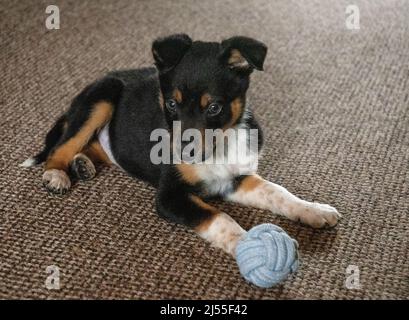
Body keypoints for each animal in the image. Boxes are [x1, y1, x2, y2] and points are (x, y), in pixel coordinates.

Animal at [20, 34, 340, 255]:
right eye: (171, 104)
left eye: (213, 107)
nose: (182, 152)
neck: (218, 149)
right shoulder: (170, 196)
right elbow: (220, 217)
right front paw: (249, 245)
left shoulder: (237, 178)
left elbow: (277, 192)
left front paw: (314, 211)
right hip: (102, 96)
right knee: (61, 146)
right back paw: (57, 174)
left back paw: (82, 164)